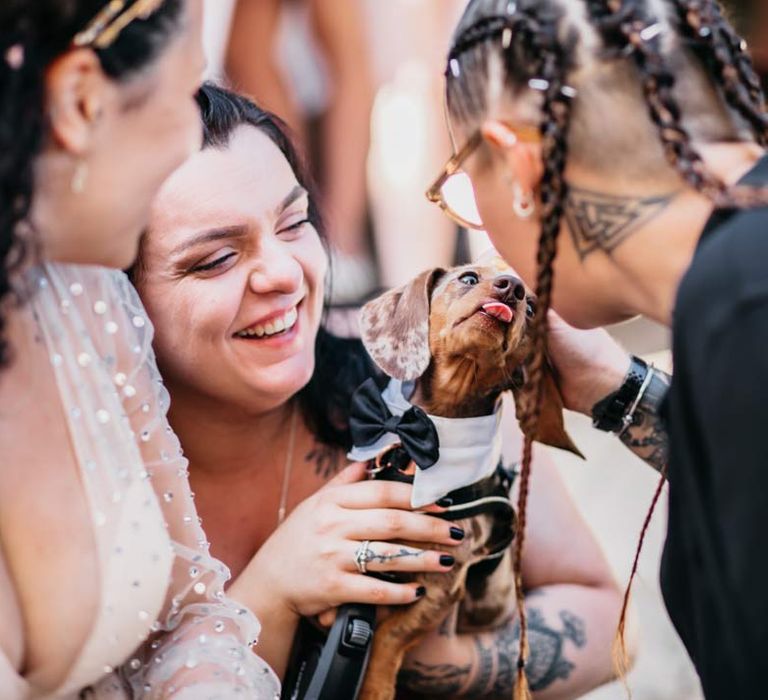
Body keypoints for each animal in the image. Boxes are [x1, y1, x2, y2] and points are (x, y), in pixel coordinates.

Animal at [356, 260, 580, 696]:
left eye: (531, 309)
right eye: (469, 278)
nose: (513, 288)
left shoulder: (440, 585)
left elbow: (388, 635)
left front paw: (374, 687)